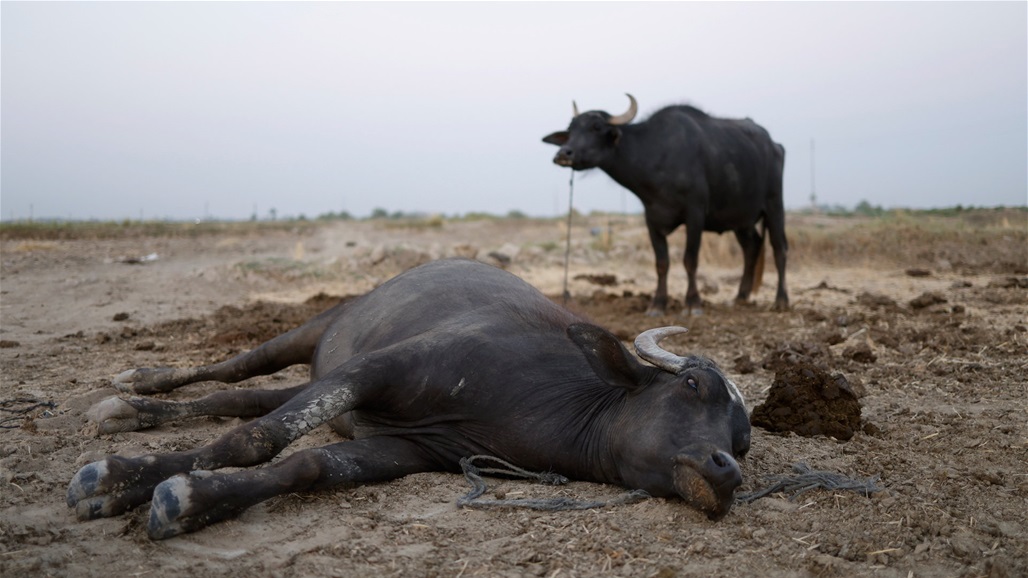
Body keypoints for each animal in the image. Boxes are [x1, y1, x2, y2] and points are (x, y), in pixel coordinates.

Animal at [68, 259, 752, 538]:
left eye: (742, 439)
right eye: (692, 385)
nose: (727, 470)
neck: (562, 404)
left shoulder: (414, 451)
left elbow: (304, 464)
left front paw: (194, 499)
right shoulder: (378, 369)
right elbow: (259, 437)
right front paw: (117, 480)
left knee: (251, 397)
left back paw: (135, 413)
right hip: (313, 331)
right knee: (237, 371)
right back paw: (136, 388)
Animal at [542, 93, 789, 314]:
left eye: (596, 127)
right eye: (571, 129)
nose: (563, 154)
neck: (656, 155)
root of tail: (775, 145)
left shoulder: (695, 214)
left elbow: (690, 259)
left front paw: (693, 303)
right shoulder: (652, 218)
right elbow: (661, 263)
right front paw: (657, 304)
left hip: (774, 205)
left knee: (779, 248)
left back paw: (781, 301)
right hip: (741, 220)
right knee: (752, 247)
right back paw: (741, 297)